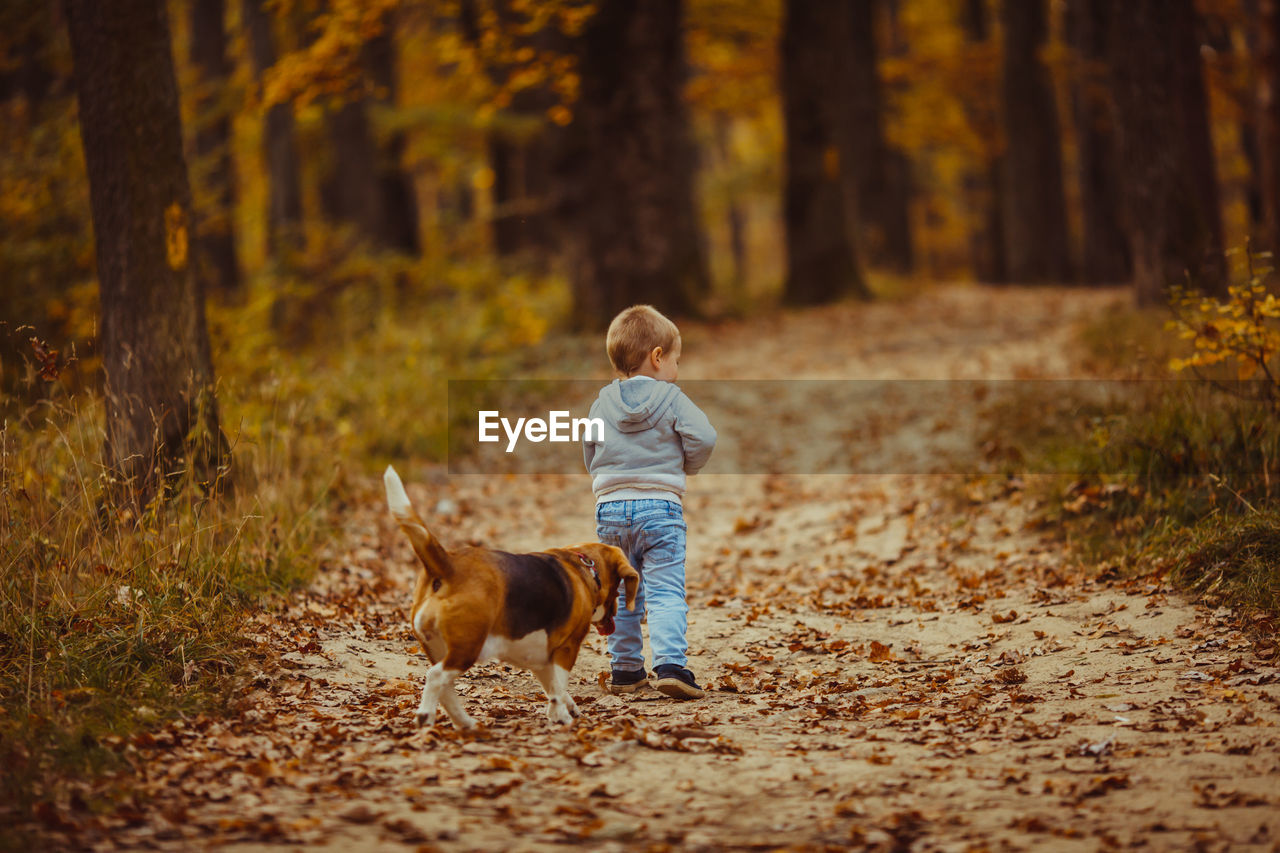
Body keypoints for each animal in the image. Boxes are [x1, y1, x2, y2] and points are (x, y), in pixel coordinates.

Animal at [378, 466, 640, 722]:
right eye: (617, 590)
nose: (615, 612)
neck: (583, 566)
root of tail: (448, 565)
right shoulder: (567, 648)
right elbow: (559, 687)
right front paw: (560, 716)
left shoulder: (541, 660)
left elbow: (554, 689)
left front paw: (565, 710)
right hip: (467, 648)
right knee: (435, 677)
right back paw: (427, 716)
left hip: (438, 648)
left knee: (446, 690)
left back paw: (466, 723)